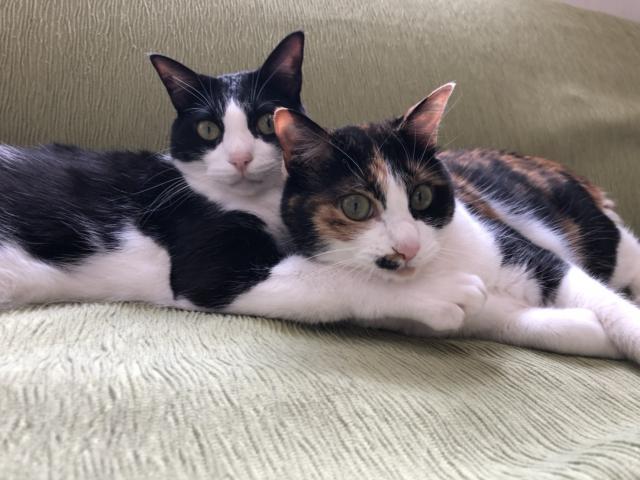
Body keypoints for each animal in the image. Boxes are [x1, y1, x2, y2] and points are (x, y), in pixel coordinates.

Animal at [0, 32, 475, 334]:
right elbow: (326, 277)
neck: (256, 201)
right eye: (209, 130)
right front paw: (441, 291)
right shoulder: (206, 268)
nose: (241, 157)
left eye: (265, 122)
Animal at [265, 84, 640, 364]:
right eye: (355, 206)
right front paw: (589, 330)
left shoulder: (517, 247)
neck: (439, 264)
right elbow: (508, 320)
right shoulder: (445, 315)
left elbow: (600, 298)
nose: (409, 246)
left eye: (421, 196)